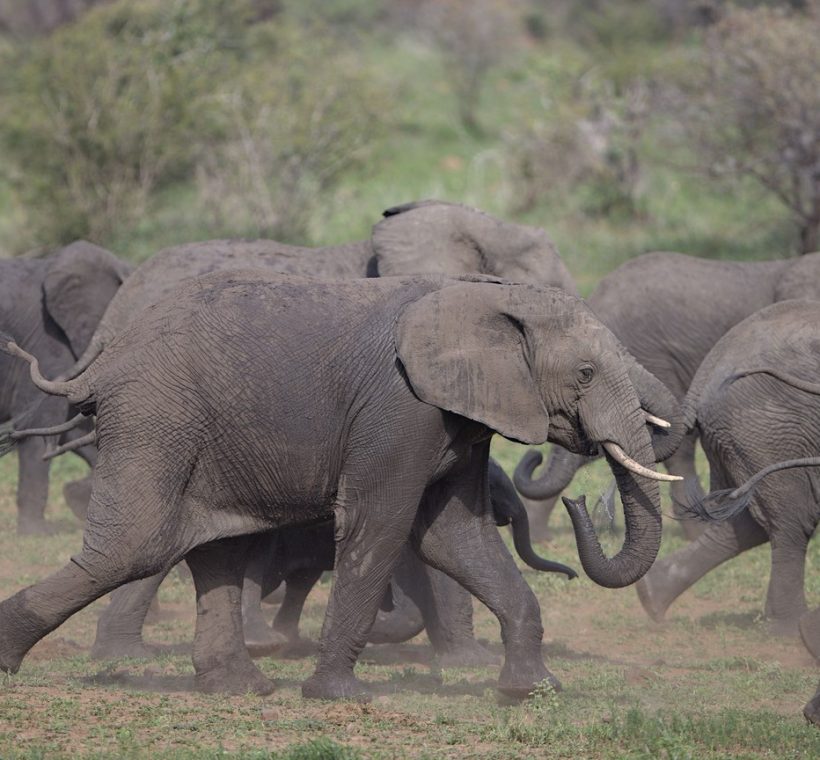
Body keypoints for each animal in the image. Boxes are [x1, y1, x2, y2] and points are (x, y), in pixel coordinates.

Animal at [0, 271, 679, 700]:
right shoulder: (400, 408)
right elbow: (380, 524)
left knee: (215, 549)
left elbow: (456, 538)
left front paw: (531, 691)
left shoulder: (455, 417)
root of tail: (101, 363)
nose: (579, 501)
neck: (483, 294)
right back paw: (9, 657)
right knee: (136, 546)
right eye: (585, 373)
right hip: (156, 418)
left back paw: (240, 689)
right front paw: (339, 697)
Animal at [634, 299, 820, 637]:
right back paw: (791, 630)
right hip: (763, 430)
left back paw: (652, 596)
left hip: (737, 438)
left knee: (742, 524)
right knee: (794, 519)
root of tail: (704, 376)